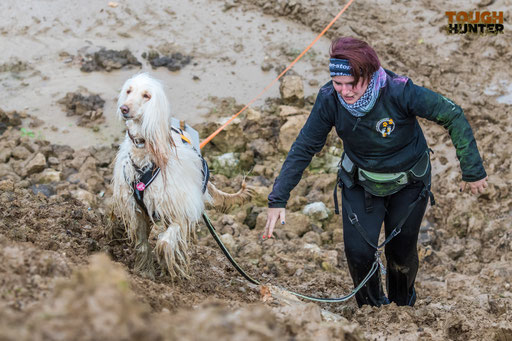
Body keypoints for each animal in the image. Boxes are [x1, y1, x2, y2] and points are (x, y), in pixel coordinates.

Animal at [111, 73, 251, 278]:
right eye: (129, 91)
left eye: (147, 95)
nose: (124, 108)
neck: (145, 153)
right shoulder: (137, 210)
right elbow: (142, 244)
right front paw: (145, 272)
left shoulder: (180, 211)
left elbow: (164, 243)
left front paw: (168, 267)